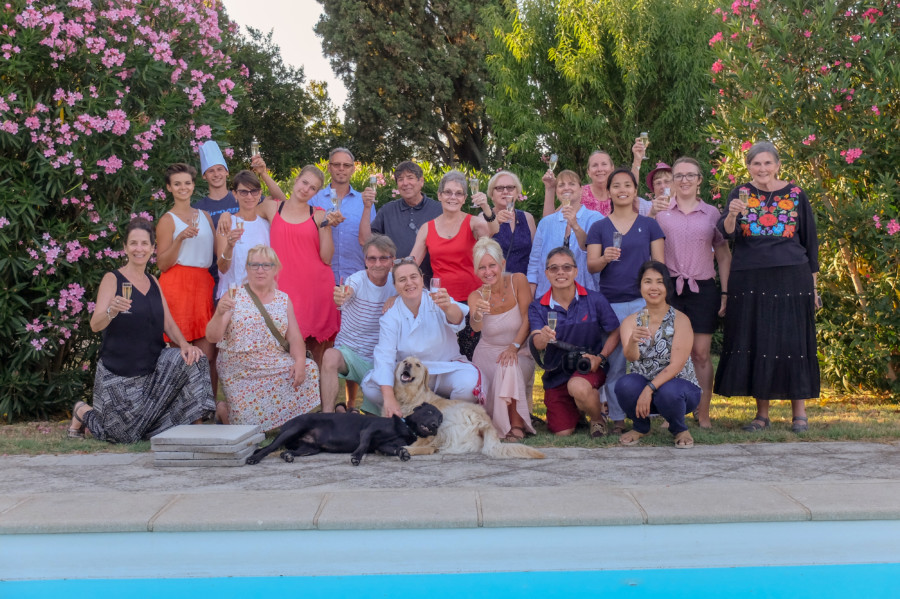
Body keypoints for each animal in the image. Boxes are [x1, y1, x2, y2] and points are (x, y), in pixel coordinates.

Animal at [246, 404, 442, 468]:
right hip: (294, 429)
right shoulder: (369, 431)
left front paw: (403, 453)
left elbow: (397, 448)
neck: (404, 428)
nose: (435, 425)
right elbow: (363, 444)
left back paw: (287, 456)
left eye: (440, 418)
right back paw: (254, 458)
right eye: (429, 411)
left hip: (310, 448)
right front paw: (356, 457)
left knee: (284, 452)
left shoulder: (383, 446)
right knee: (269, 447)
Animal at [392, 358, 544, 462]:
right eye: (405, 361)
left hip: (447, 420)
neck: (409, 397)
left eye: (417, 365)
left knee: (429, 447)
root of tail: (487, 425)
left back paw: (404, 450)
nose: (407, 364)